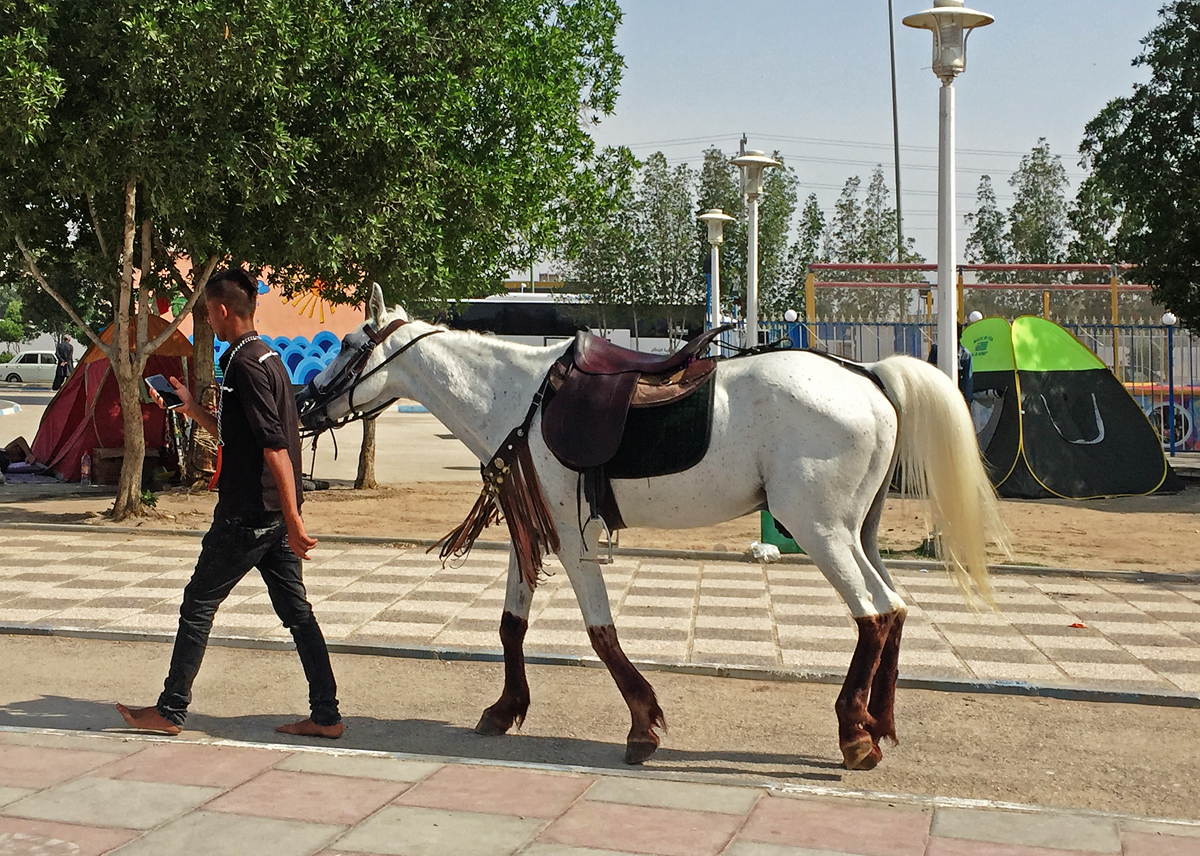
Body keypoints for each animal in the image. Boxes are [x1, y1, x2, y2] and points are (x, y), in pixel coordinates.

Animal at [300, 285, 1003, 768]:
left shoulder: (574, 540)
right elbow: (510, 625)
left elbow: (601, 634)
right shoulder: (533, 532)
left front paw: (642, 724)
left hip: (820, 531)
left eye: (348, 344)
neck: (519, 396)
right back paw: (877, 722)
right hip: (857, 534)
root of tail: (868, 374)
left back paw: (854, 734)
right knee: (895, 605)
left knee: (873, 614)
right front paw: (505, 709)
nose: (305, 404)